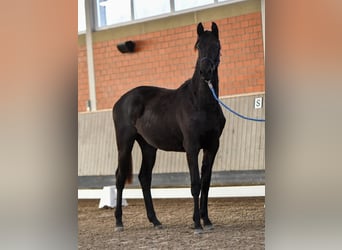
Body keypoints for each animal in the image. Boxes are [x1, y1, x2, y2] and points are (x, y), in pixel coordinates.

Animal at [111, 22, 227, 233]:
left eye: (217, 45)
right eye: (198, 46)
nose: (205, 71)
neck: (200, 103)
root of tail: (121, 100)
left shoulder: (212, 146)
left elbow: (206, 183)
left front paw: (206, 220)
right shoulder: (192, 147)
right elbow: (196, 184)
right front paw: (197, 224)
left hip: (148, 146)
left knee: (144, 177)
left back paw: (155, 221)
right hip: (124, 143)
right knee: (120, 176)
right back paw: (119, 222)